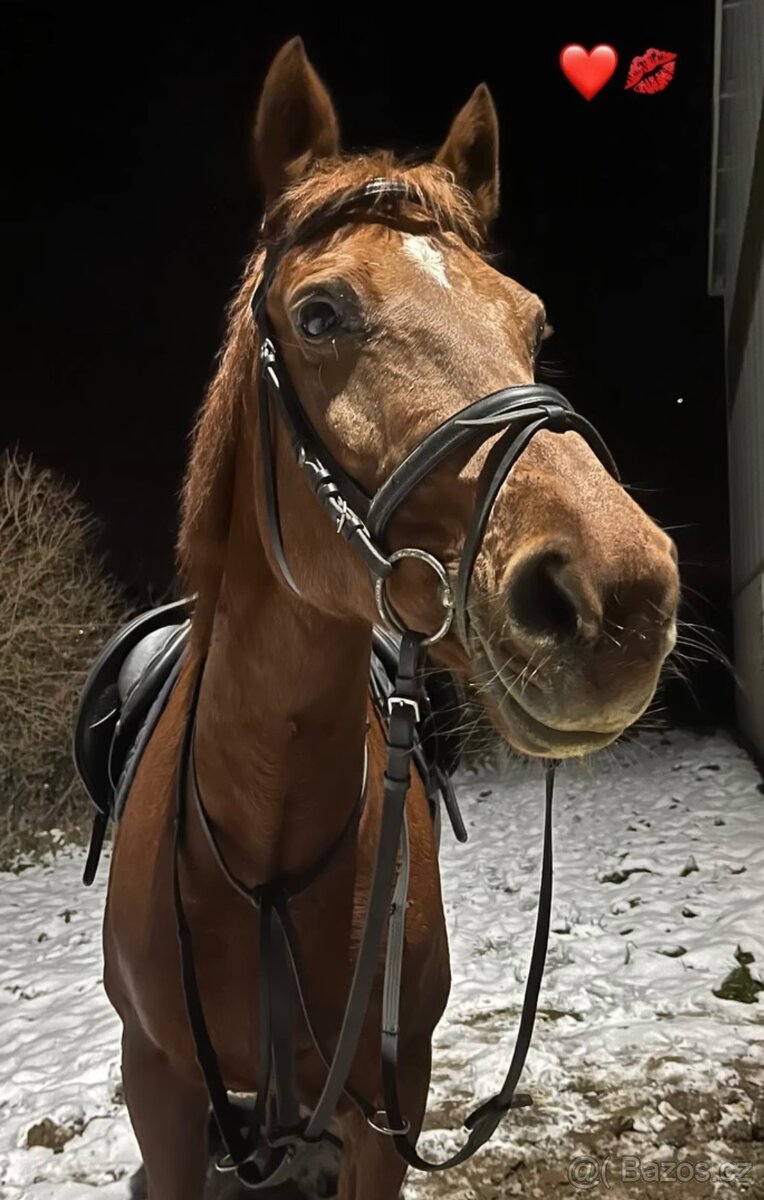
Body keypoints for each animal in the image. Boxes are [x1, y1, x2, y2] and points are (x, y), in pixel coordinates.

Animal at [100, 36, 679, 1200]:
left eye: (532, 324)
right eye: (320, 312)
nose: (622, 597)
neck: (264, 846)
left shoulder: (389, 1101)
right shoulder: (162, 1097)